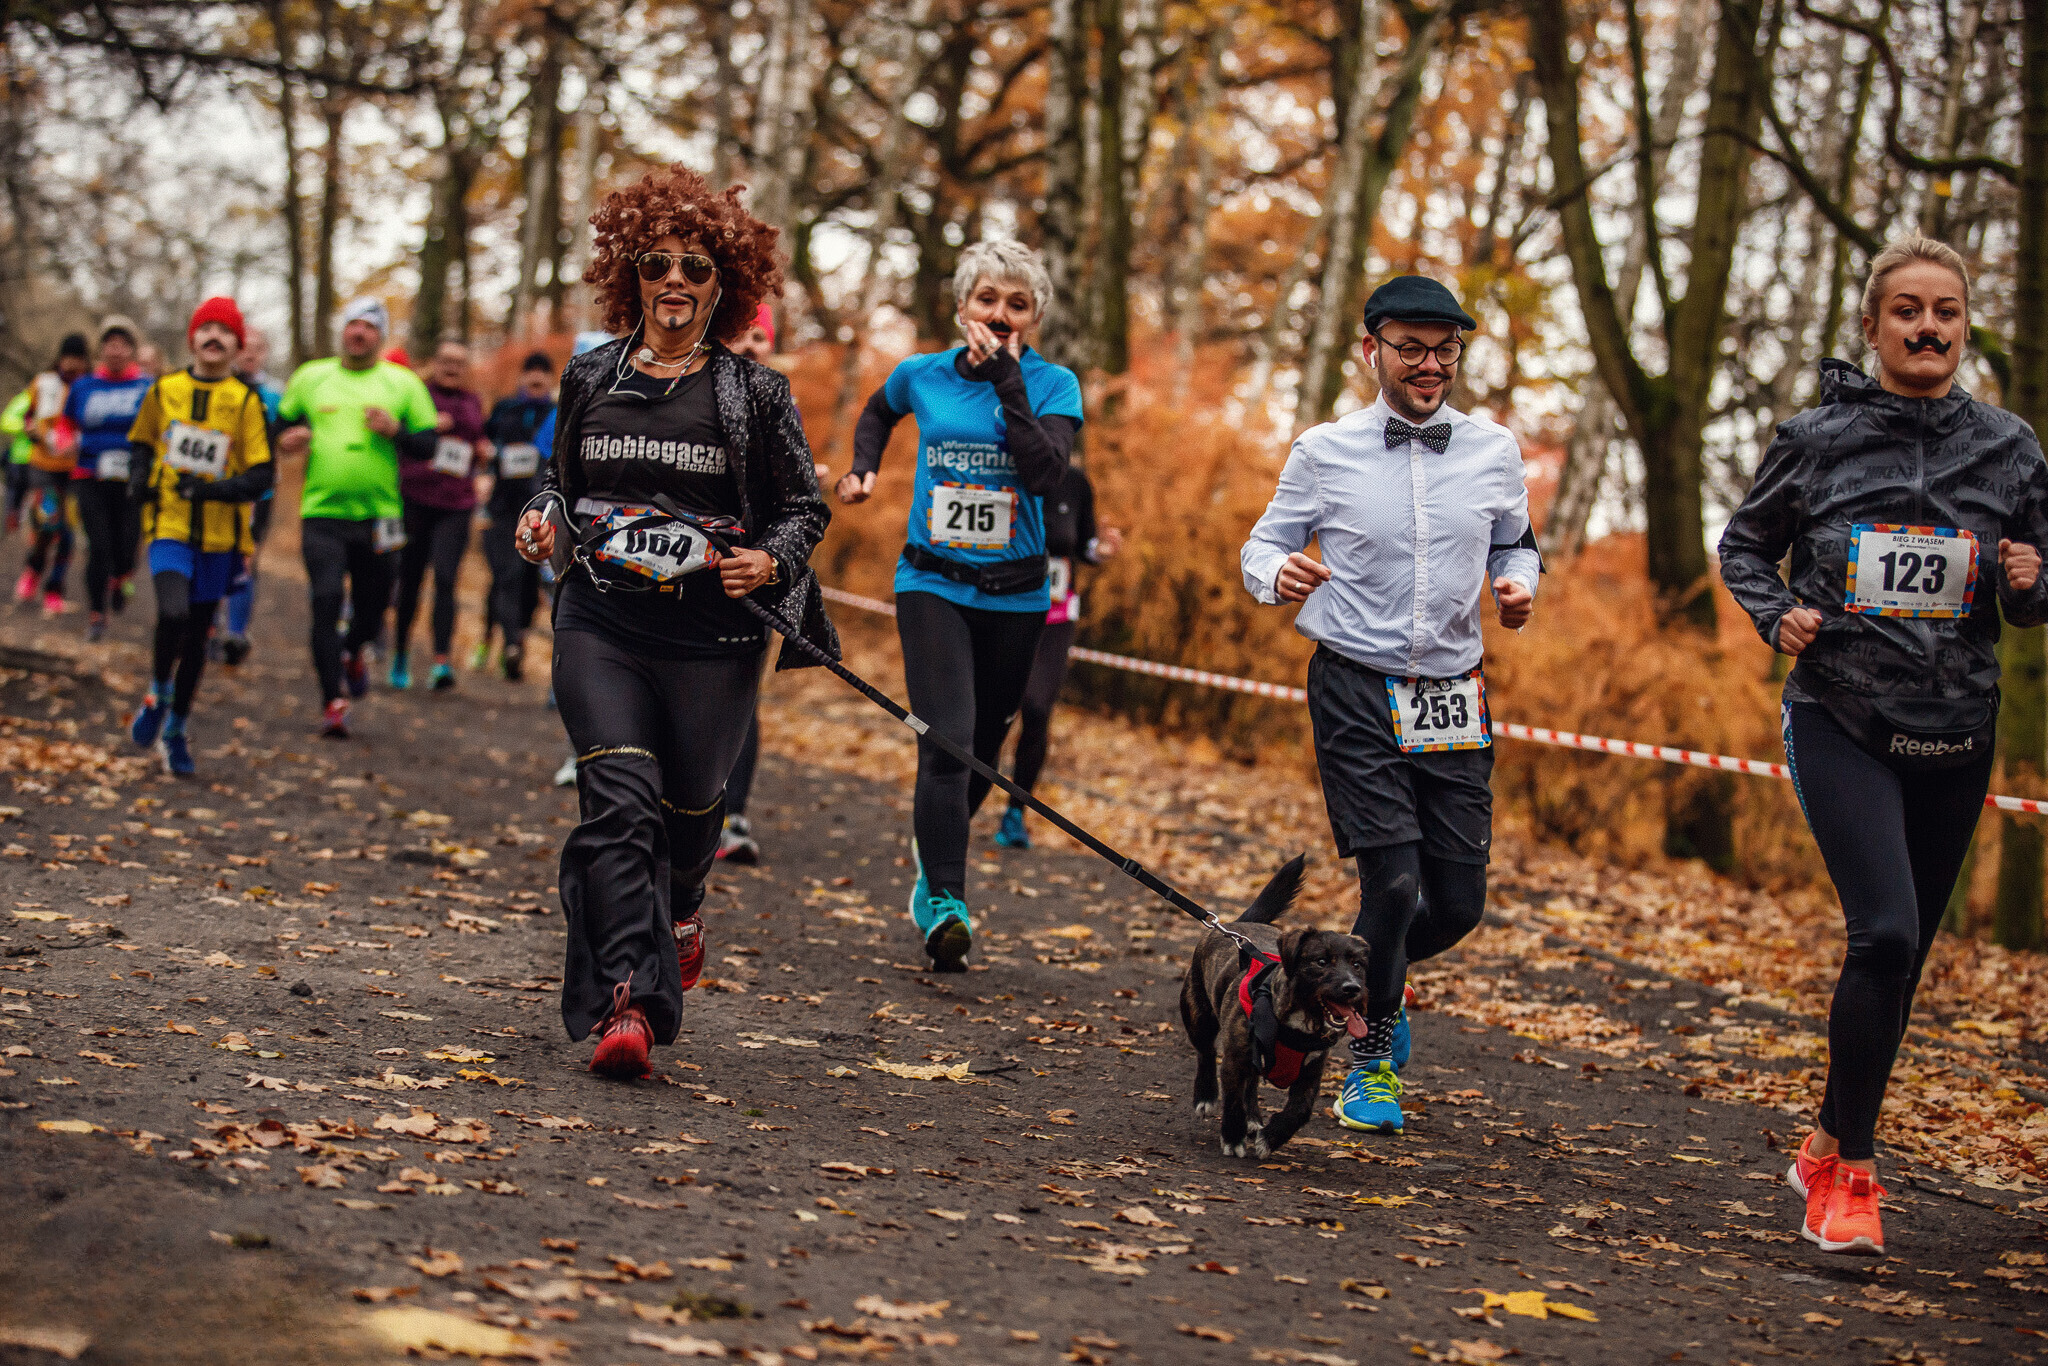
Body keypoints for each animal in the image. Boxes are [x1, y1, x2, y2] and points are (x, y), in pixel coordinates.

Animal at [1179, 860, 1368, 1163]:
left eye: (1358, 965)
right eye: (1321, 962)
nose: (1352, 988)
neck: (1299, 1022)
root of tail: (1237, 926)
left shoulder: (1311, 1072)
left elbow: (1300, 1110)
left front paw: (1271, 1138)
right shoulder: (1234, 1058)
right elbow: (1232, 1100)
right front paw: (1232, 1137)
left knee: (1252, 1083)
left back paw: (1254, 1120)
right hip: (1197, 1014)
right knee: (1206, 1052)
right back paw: (1206, 1096)